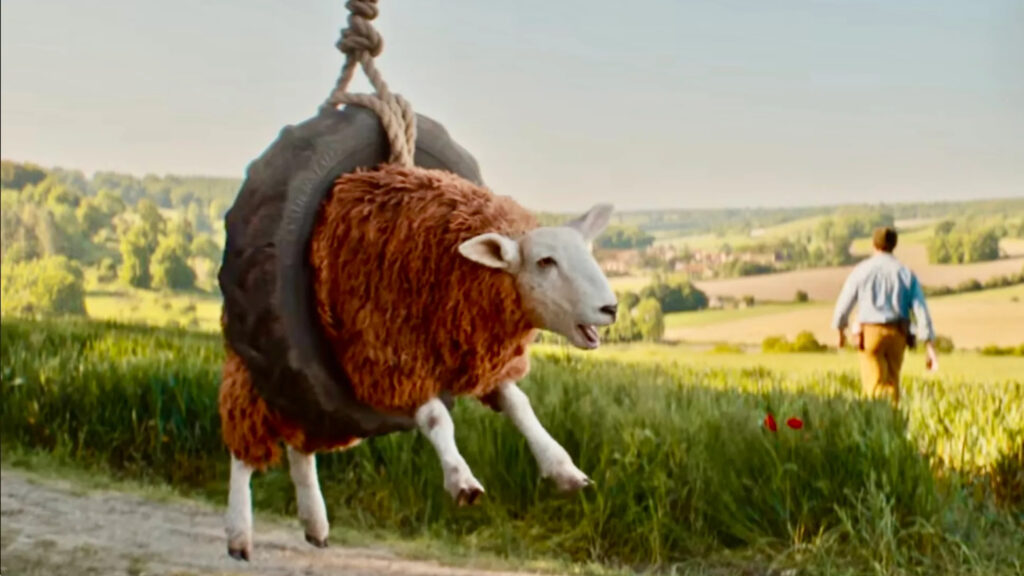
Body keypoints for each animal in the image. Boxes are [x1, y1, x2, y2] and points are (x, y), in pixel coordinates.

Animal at [219, 163, 618, 560]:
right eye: (545, 261)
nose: (610, 308)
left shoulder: (478, 358)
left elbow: (521, 406)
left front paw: (564, 469)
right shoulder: (396, 358)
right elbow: (436, 418)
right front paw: (461, 480)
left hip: (311, 393)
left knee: (300, 444)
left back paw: (315, 523)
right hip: (263, 369)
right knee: (244, 444)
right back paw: (239, 533)